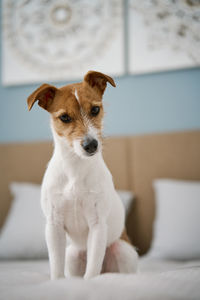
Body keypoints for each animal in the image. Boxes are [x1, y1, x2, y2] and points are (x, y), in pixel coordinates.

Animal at [27, 69, 138, 278]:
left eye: (95, 110)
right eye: (64, 117)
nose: (91, 145)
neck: (75, 167)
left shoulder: (97, 225)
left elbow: (92, 271)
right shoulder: (53, 226)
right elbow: (56, 269)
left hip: (123, 251)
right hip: (72, 255)